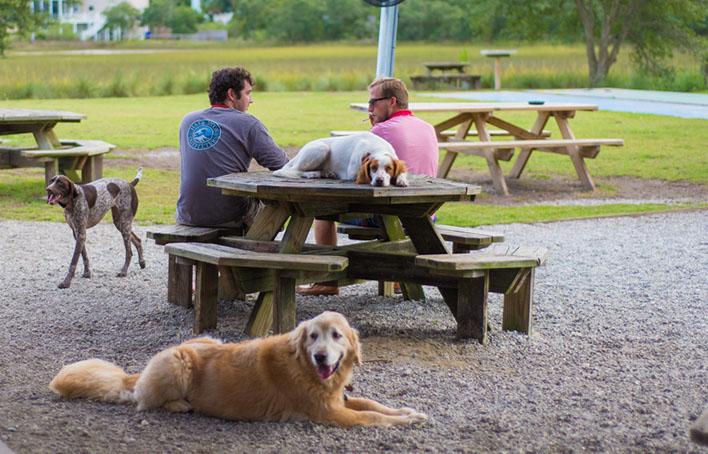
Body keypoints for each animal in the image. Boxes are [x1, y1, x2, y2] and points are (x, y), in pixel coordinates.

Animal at [276, 131, 412, 188]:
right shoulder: (352, 173)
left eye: (389, 169)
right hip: (321, 148)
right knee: (290, 171)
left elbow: (402, 173)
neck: (378, 148)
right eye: (373, 168)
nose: (379, 181)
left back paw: (326, 173)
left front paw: (402, 180)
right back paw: (312, 174)